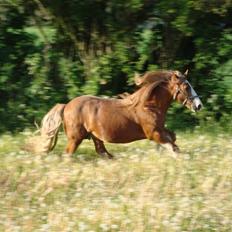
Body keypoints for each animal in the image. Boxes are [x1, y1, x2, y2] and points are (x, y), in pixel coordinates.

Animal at [25, 69, 202, 158]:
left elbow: (173, 138)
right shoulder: (153, 133)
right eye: (186, 86)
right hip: (75, 139)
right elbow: (174, 147)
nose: (198, 105)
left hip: (95, 137)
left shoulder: (160, 130)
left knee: (102, 152)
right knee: (68, 154)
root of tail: (66, 106)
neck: (149, 105)